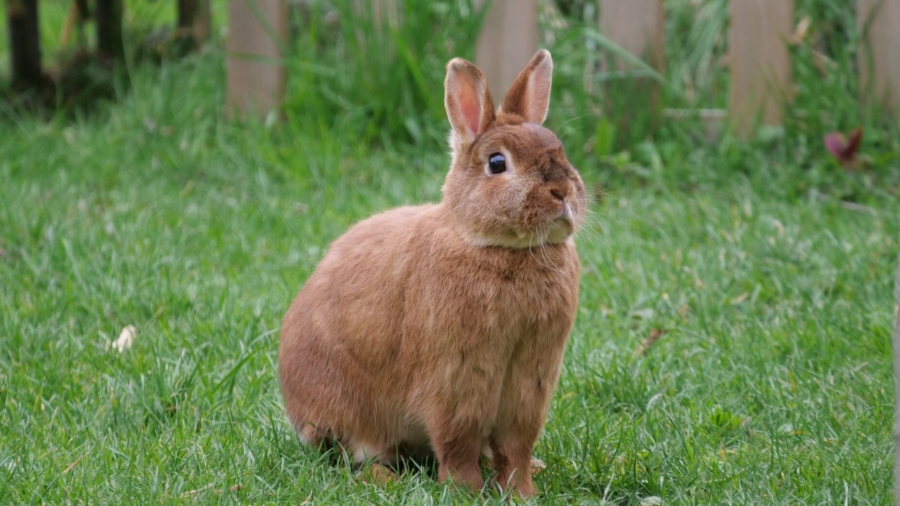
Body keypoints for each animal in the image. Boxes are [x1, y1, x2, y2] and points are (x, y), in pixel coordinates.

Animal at [279, 49, 587, 498]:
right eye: (497, 163)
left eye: (560, 150)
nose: (562, 192)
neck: (498, 248)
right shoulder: (456, 378)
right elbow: (457, 440)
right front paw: (464, 491)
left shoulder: (531, 383)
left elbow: (516, 445)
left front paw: (522, 491)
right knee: (352, 454)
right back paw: (382, 478)